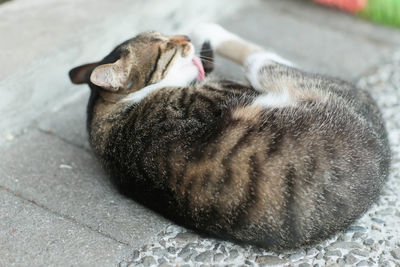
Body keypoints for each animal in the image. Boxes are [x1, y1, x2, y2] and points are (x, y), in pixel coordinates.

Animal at [69, 24, 390, 252]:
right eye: (167, 46)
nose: (185, 37)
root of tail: (384, 150)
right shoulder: (218, 94)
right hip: (278, 78)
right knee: (264, 59)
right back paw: (208, 27)